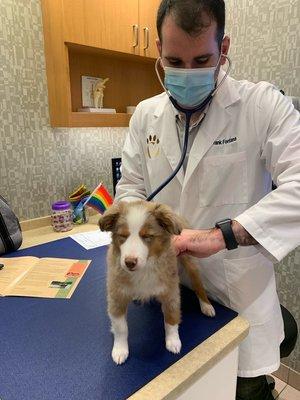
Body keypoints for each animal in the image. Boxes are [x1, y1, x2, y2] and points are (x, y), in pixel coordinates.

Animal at [99, 200, 216, 366]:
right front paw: (120, 350)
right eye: (123, 236)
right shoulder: (116, 296)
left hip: (189, 260)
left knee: (198, 284)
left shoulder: (171, 292)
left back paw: (206, 305)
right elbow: (121, 328)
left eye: (147, 236)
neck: (145, 268)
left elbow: (171, 319)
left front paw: (173, 342)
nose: (129, 262)